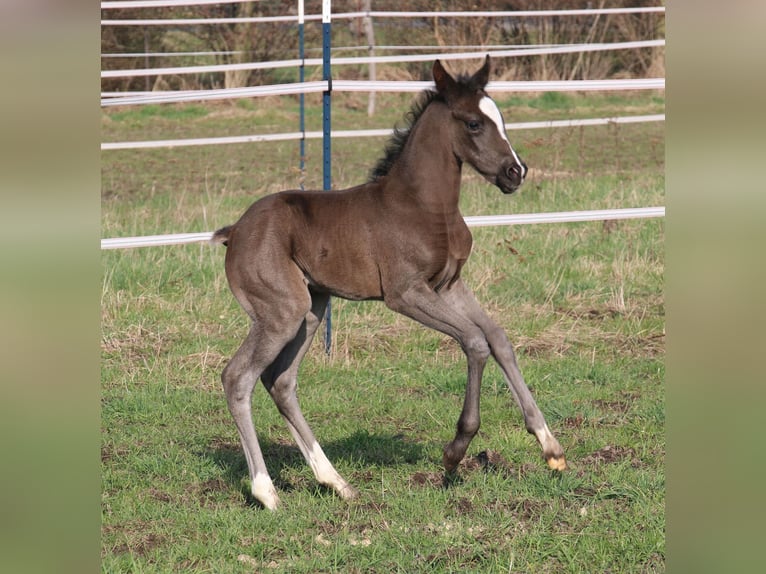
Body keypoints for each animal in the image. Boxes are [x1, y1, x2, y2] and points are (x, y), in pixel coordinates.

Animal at [213, 56, 568, 510]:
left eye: (500, 118)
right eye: (473, 123)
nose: (515, 172)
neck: (423, 206)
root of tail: (235, 231)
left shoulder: (449, 285)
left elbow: (498, 338)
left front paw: (550, 447)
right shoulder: (405, 293)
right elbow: (474, 341)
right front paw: (455, 451)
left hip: (311, 311)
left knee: (281, 381)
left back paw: (336, 481)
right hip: (281, 312)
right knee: (238, 378)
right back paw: (267, 492)